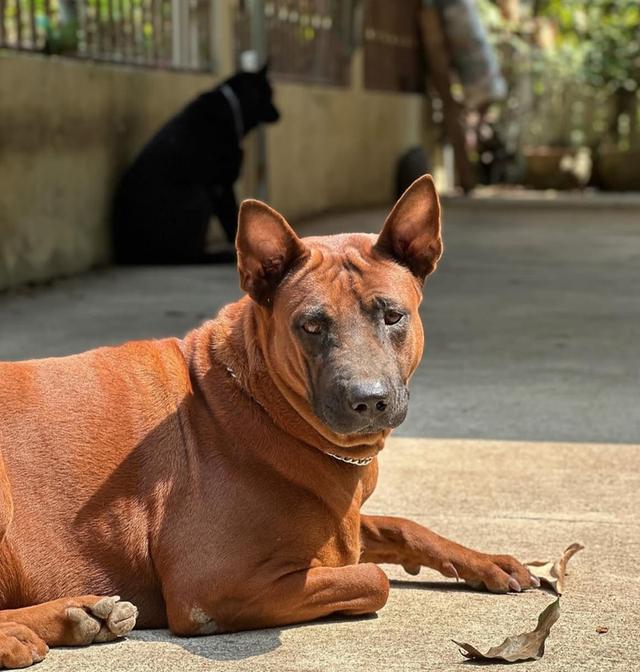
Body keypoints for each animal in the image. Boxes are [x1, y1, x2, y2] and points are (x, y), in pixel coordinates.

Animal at [0, 176, 536, 668]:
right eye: (312, 325)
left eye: (392, 316)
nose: (369, 401)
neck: (259, 400)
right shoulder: (211, 588)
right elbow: (372, 577)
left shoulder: (344, 522)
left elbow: (402, 526)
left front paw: (486, 561)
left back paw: (79, 614)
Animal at [112, 65, 280, 266]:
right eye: (269, 94)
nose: (280, 114)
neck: (232, 108)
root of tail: (126, 255)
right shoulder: (221, 186)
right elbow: (232, 220)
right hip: (199, 196)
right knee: (187, 255)